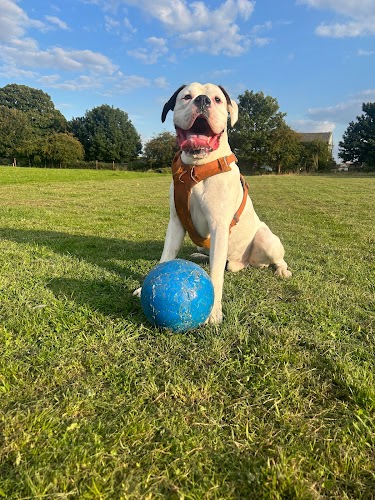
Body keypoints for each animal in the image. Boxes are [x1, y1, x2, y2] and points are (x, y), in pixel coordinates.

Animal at [137, 82, 292, 324]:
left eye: (218, 99)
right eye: (186, 97)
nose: (202, 100)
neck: (196, 168)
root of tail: (243, 263)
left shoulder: (218, 226)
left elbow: (216, 273)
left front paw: (213, 310)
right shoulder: (176, 222)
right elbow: (166, 256)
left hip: (266, 240)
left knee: (275, 259)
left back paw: (282, 270)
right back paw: (200, 256)